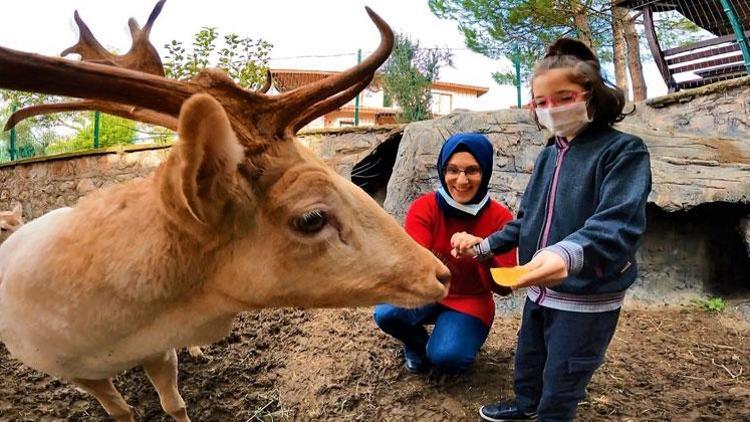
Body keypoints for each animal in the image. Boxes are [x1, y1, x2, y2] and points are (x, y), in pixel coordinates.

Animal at [0, 1, 452, 420]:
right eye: (311, 218)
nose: (440, 273)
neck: (108, 331)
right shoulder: (75, 372)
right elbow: (122, 411)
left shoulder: (157, 350)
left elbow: (174, 404)